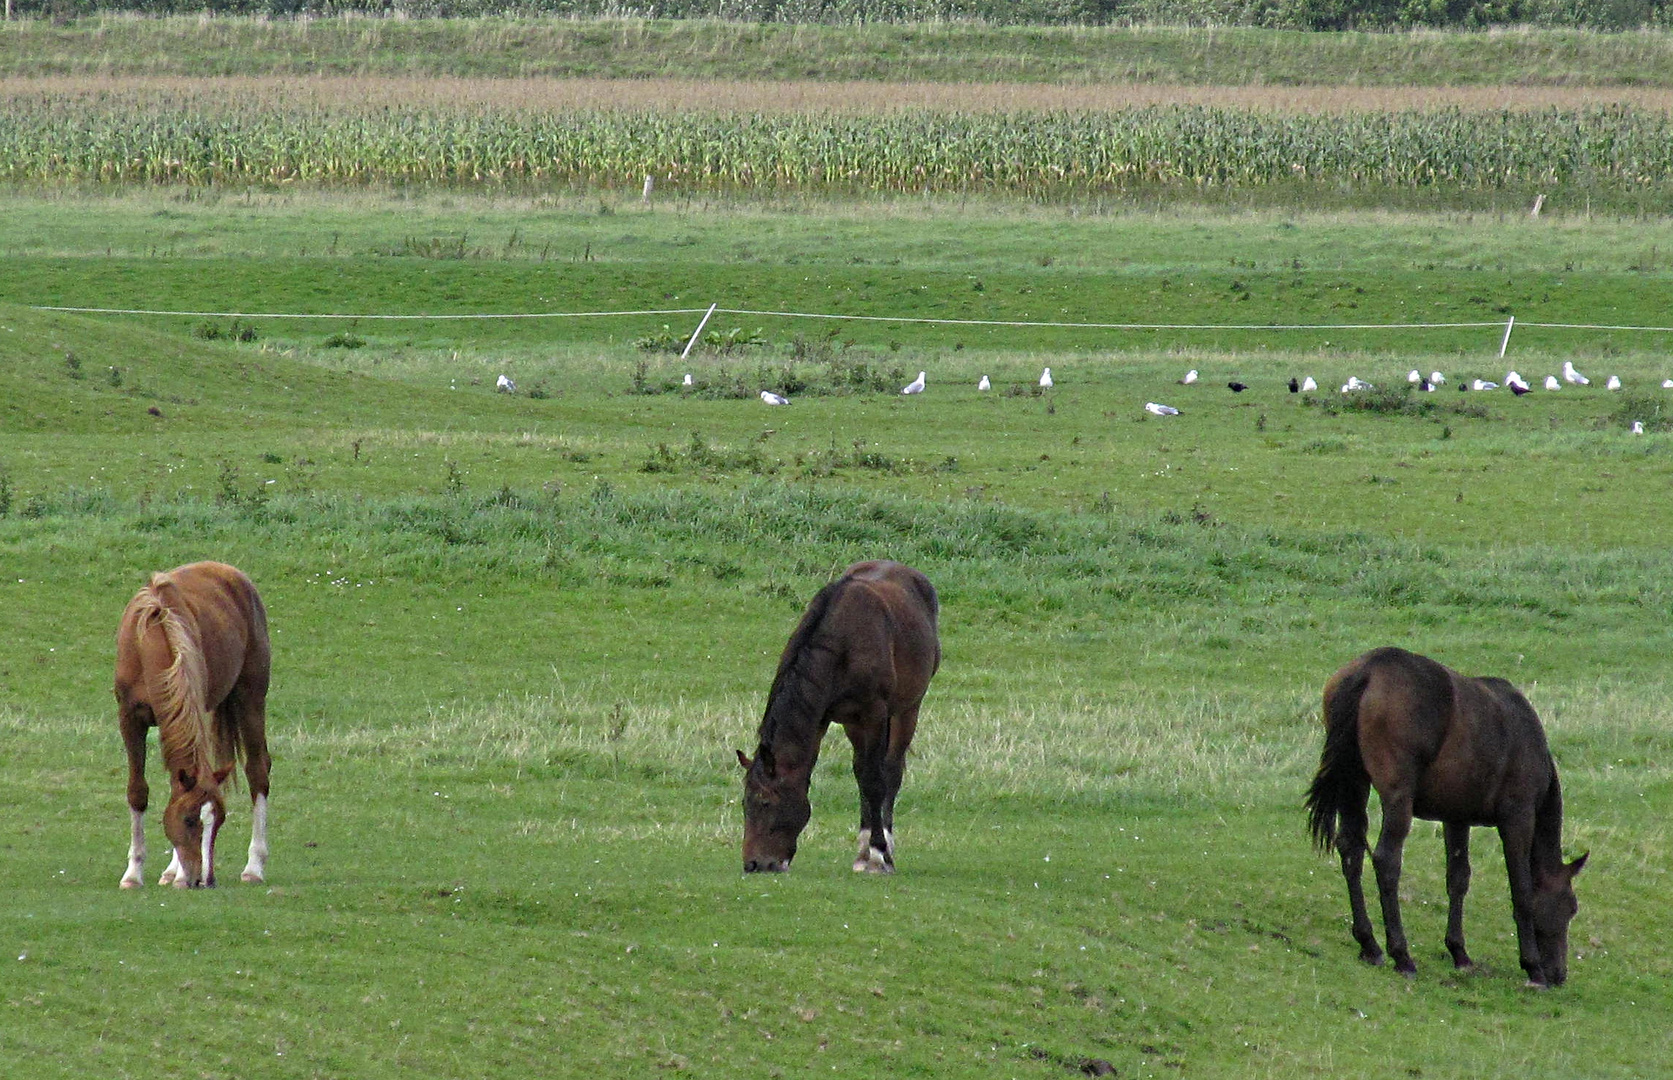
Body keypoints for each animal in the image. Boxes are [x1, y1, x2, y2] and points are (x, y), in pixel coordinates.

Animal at [114, 561, 272, 896]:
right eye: (188, 820)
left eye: (220, 820)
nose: (204, 880)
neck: (152, 639)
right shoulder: (130, 719)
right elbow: (138, 791)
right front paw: (133, 873)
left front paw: (177, 874)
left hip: (251, 697)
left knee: (257, 771)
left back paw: (253, 867)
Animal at [736, 561, 943, 876]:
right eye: (744, 804)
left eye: (766, 803)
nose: (755, 864)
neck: (843, 642)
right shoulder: (828, 718)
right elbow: (861, 775)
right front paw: (865, 850)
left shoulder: (874, 713)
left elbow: (875, 780)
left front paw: (878, 853)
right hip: (854, 723)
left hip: (907, 709)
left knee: (891, 771)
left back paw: (887, 850)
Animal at [1298, 652, 1586, 989]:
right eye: (1570, 906)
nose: (1558, 974)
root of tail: (1368, 669)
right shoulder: (1518, 816)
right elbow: (1522, 890)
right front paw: (1532, 967)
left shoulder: (1456, 816)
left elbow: (1458, 879)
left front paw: (1459, 951)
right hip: (1397, 796)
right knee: (1386, 860)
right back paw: (1401, 955)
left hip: (1353, 782)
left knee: (1351, 850)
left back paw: (1370, 945)